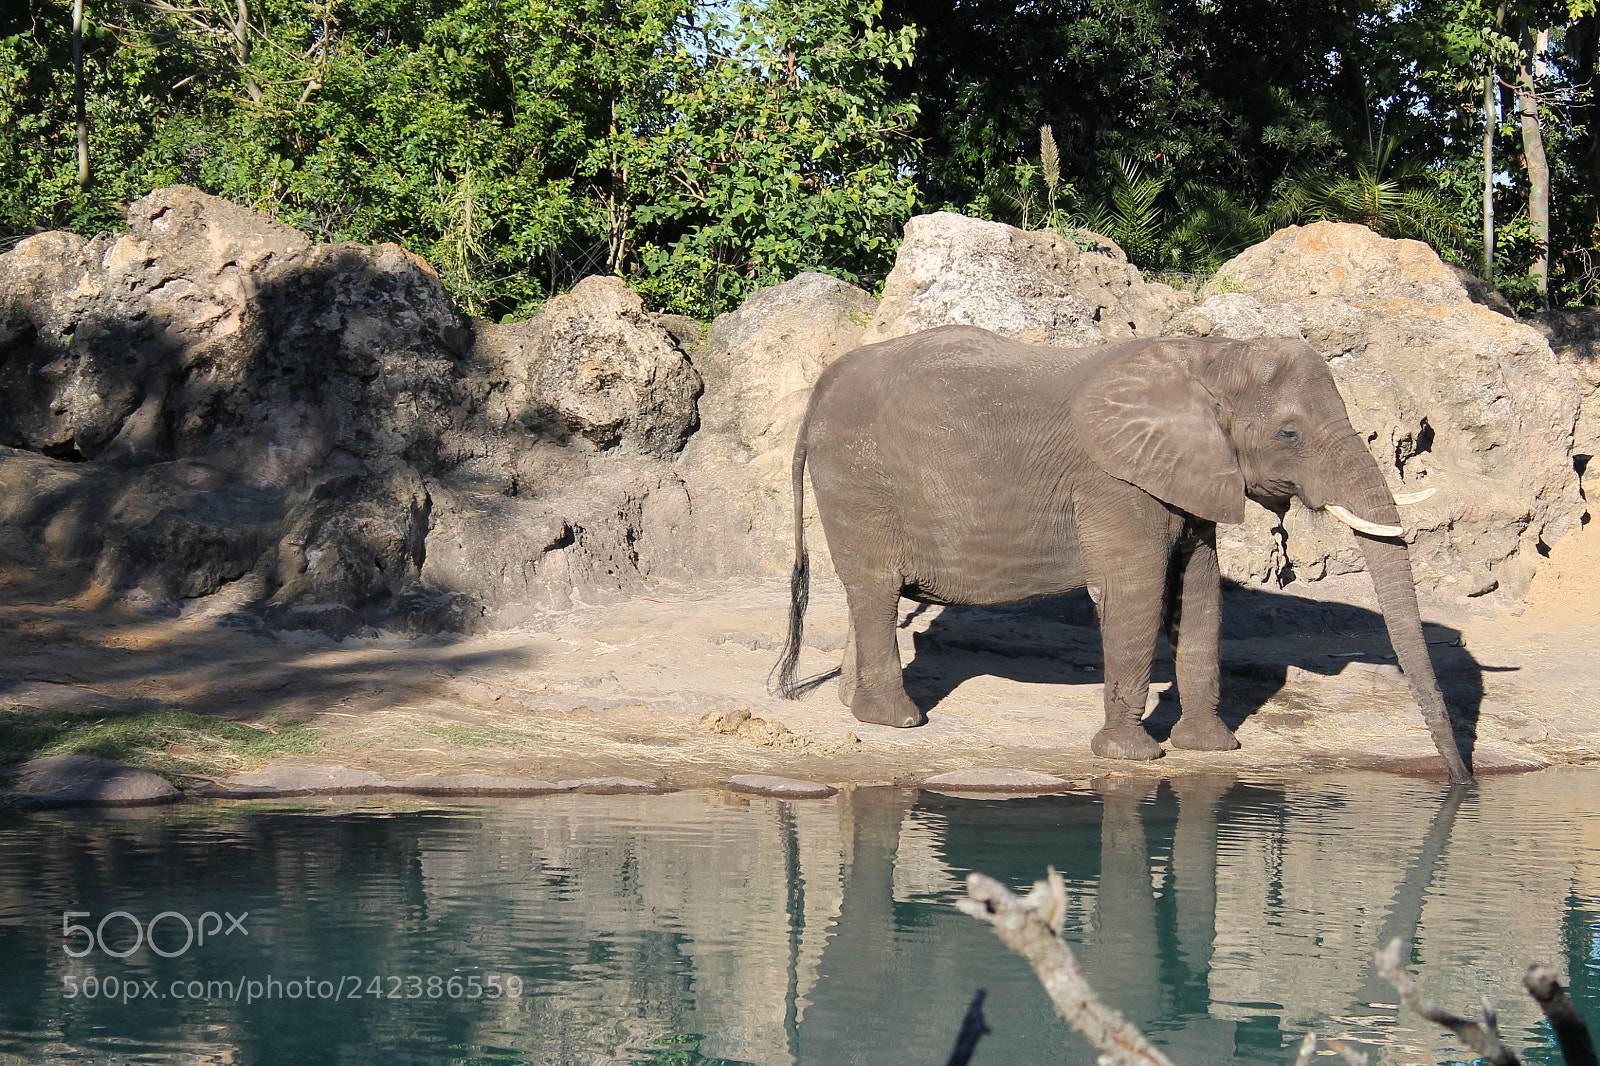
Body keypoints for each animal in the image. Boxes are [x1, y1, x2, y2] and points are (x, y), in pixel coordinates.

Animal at [770, 325, 1473, 784]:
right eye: (1290, 434)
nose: (1461, 785)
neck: (1209, 358)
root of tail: (823, 382)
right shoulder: (1116, 482)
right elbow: (1134, 591)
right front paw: (1133, 758)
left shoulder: (1187, 477)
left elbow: (1198, 592)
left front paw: (1212, 750)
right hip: (859, 480)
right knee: (875, 587)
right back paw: (897, 721)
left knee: (872, 594)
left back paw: (852, 708)